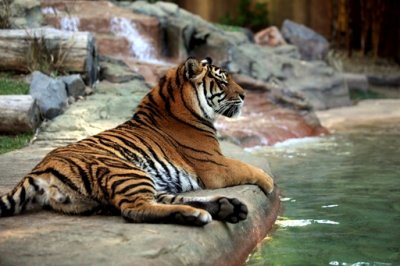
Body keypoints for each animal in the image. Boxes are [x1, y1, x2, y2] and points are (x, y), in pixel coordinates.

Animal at [0, 57, 276, 225]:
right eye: (221, 81)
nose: (244, 94)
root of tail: (37, 171)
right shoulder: (214, 165)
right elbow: (247, 167)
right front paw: (270, 182)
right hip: (125, 170)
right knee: (135, 209)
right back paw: (198, 215)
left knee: (160, 201)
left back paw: (226, 207)